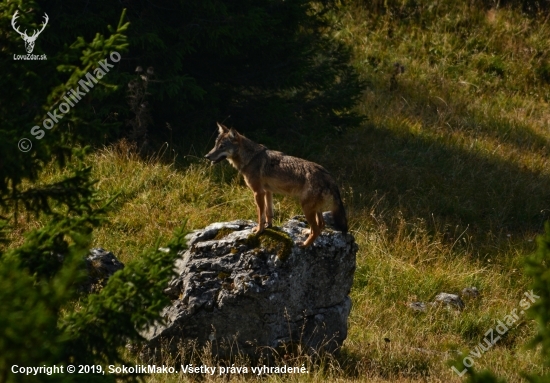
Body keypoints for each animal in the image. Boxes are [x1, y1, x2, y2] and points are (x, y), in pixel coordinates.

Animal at [205, 124, 348, 248]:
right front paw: (269, 226)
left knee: (317, 229)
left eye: (222, 146)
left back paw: (304, 245)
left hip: (306, 207)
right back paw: (307, 233)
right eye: (215, 145)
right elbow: (269, 213)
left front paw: (259, 230)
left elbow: (260, 215)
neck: (251, 158)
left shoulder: (258, 192)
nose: (207, 156)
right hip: (314, 208)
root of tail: (328, 175)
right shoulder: (268, 192)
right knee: (321, 224)